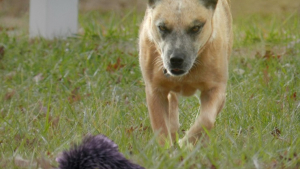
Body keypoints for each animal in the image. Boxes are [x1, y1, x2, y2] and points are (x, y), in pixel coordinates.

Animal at [139, 0, 233, 145]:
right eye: (162, 27)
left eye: (195, 28)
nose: (176, 59)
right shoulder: (155, 90)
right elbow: (161, 128)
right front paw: (168, 149)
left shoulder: (216, 89)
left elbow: (206, 119)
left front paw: (185, 144)